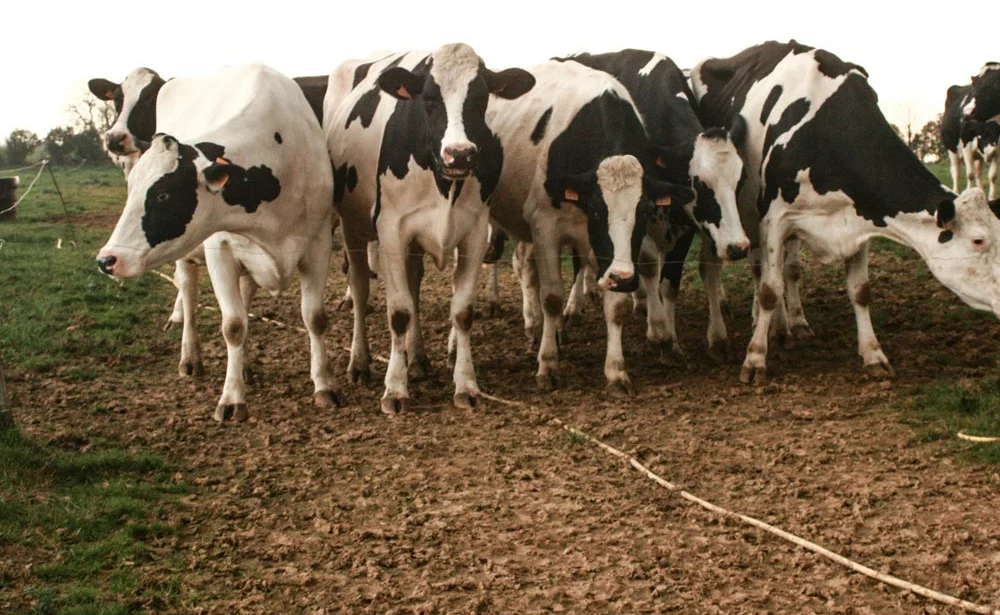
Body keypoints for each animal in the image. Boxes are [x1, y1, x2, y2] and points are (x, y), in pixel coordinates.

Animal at [97, 65, 340, 424]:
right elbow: (233, 325)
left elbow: (314, 318)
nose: (107, 259)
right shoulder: (220, 250)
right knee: (188, 293)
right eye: (133, 190)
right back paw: (191, 359)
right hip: (189, 259)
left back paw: (246, 367)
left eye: (163, 194)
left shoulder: (318, 243)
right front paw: (231, 399)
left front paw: (323, 385)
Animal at [324, 43, 536, 416]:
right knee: (361, 288)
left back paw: (418, 358)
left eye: (481, 97)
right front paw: (395, 390)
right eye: (429, 98)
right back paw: (360, 363)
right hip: (352, 226)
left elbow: (462, 312)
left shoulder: (474, 233)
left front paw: (466, 385)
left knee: (413, 287)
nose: (459, 154)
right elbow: (398, 312)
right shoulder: (391, 231)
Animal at [486, 59, 692, 394]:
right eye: (597, 209)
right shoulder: (545, 227)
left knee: (524, 265)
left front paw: (616, 371)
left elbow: (617, 305)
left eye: (645, 212)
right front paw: (548, 364)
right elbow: (552, 298)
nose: (623, 277)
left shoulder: (609, 253)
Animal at [556, 51, 752, 366]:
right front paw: (658, 332)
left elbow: (670, 283)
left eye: (740, 179)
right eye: (698, 183)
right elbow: (648, 265)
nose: (738, 247)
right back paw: (575, 307)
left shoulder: (683, 222)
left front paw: (679, 340)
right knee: (580, 258)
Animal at [688, 38, 1000, 382]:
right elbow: (769, 288)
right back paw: (723, 333)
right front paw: (755, 359)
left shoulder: (858, 220)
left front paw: (873, 354)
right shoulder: (774, 219)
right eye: (978, 240)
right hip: (721, 214)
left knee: (784, 270)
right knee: (716, 269)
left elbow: (858, 290)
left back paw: (788, 326)